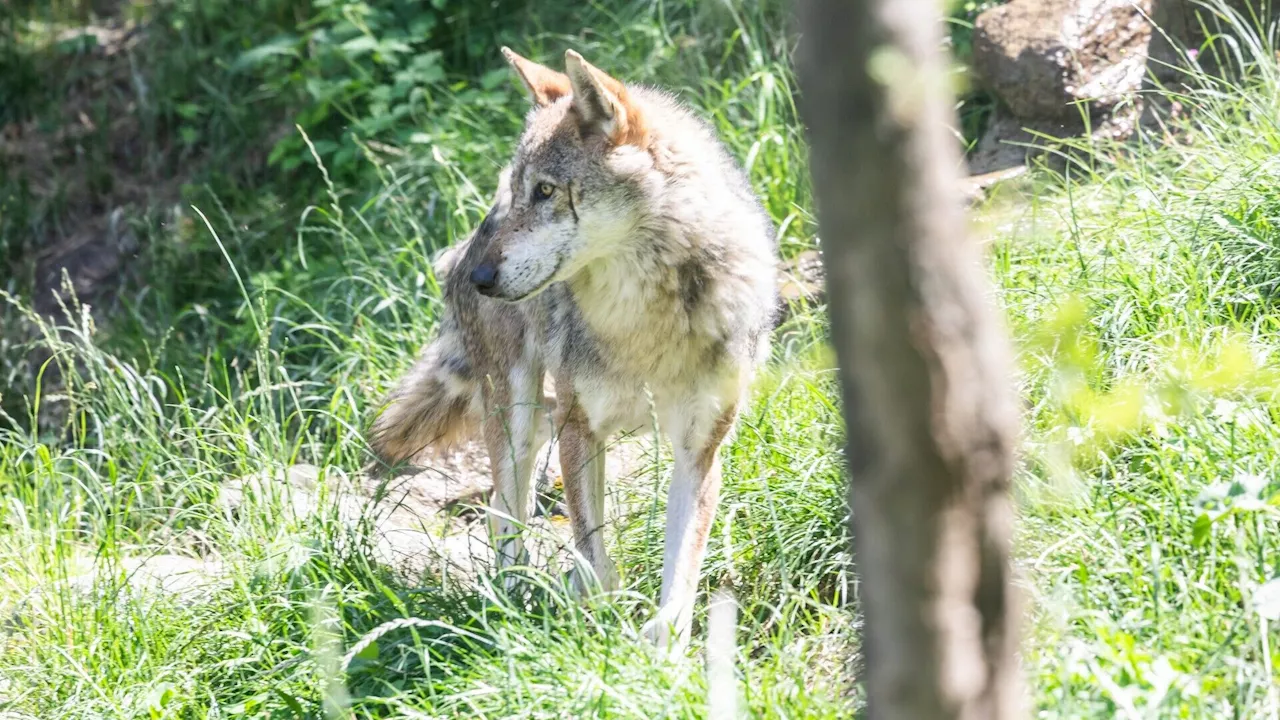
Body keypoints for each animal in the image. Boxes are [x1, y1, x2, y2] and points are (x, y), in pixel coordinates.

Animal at [366, 47, 773, 648]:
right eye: (523, 190)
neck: (643, 322)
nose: (481, 277)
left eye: (546, 191)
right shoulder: (581, 428)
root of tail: (465, 242)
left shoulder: (699, 448)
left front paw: (663, 649)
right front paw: (598, 631)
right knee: (503, 509)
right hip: (514, 410)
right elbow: (592, 556)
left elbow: (682, 570)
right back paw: (511, 601)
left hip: (539, 418)